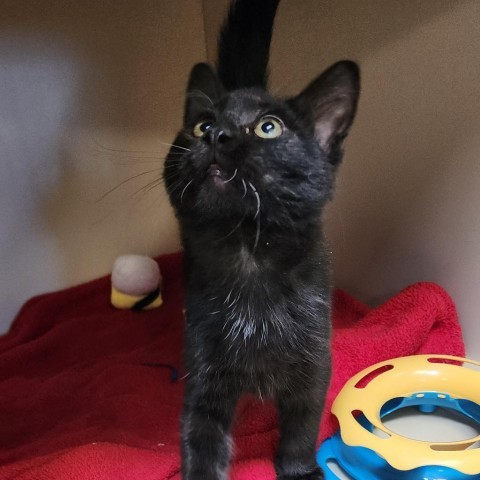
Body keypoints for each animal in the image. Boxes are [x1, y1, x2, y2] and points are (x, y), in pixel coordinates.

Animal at [163, 1, 358, 478]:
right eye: (202, 125)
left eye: (269, 128)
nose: (218, 135)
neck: (248, 255)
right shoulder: (204, 370)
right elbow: (200, 436)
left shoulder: (314, 358)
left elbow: (304, 421)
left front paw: (299, 467)